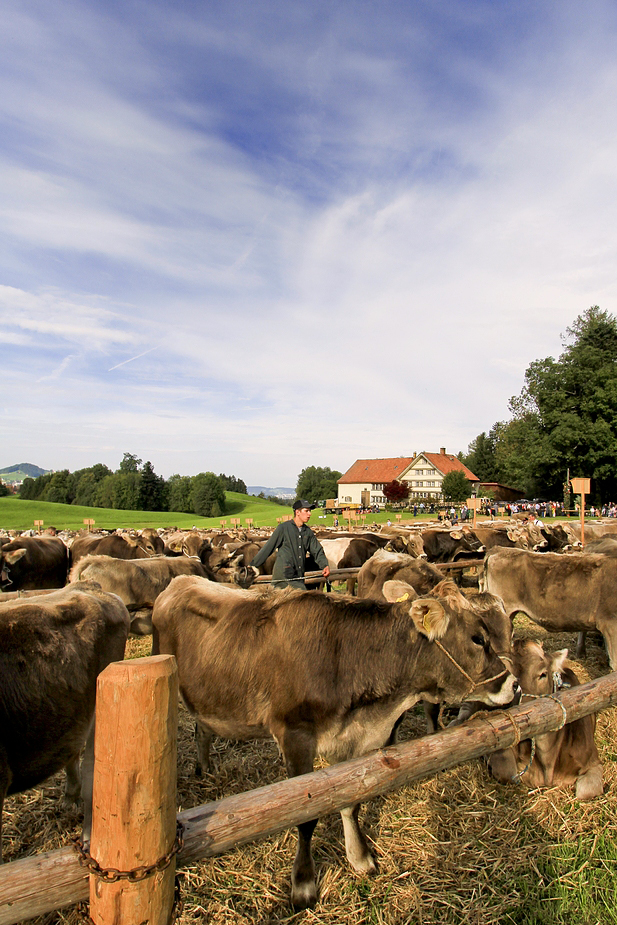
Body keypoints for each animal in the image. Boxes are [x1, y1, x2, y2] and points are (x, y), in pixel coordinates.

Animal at [152, 572, 516, 904]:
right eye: (478, 638)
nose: (512, 684)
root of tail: (181, 580)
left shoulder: (355, 742)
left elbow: (351, 803)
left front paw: (359, 857)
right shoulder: (296, 737)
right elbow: (305, 817)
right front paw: (303, 884)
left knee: (202, 729)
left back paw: (205, 768)